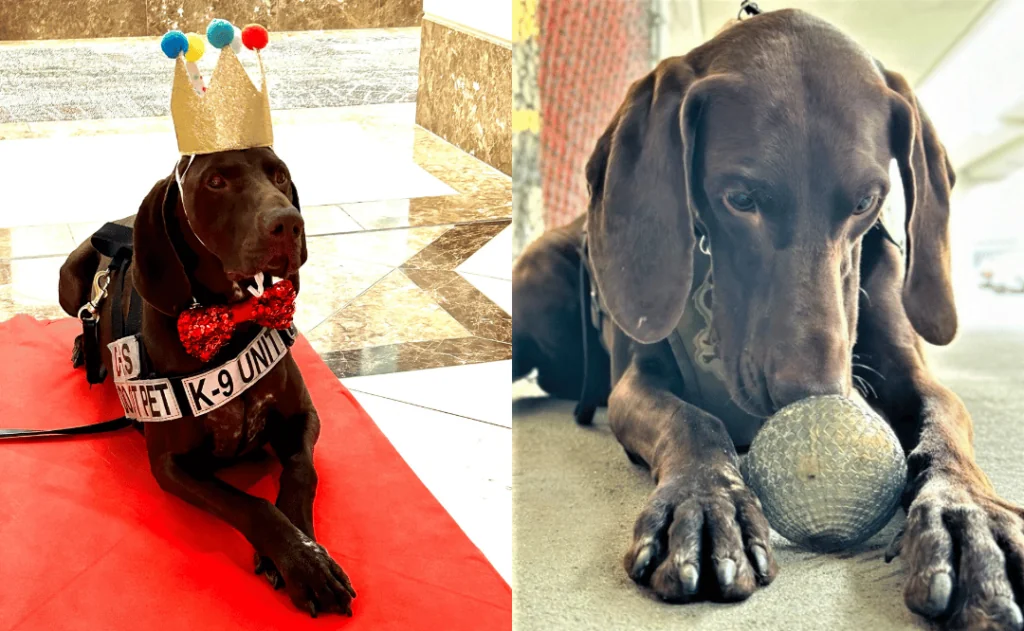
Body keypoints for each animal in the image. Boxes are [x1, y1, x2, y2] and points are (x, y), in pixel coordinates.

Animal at [58, 18, 360, 614]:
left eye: (279, 175)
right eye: (217, 181)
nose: (288, 224)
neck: (230, 321)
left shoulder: (303, 418)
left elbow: (300, 474)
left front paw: (305, 549)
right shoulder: (172, 465)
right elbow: (251, 504)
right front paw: (300, 562)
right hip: (69, 275)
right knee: (76, 317)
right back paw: (84, 346)